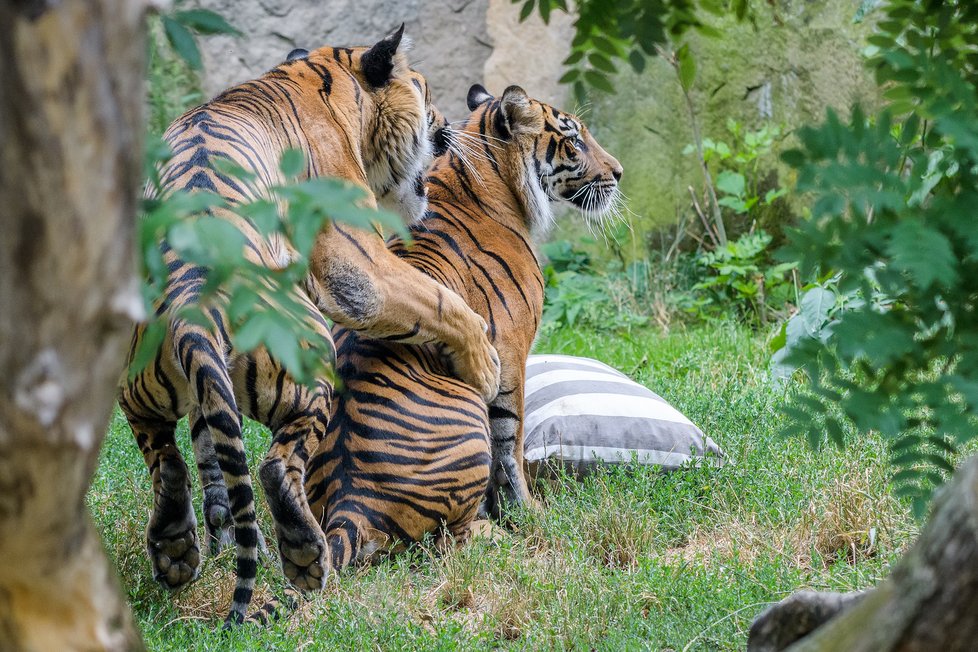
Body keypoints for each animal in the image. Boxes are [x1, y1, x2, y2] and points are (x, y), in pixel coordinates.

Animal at [118, 26, 500, 628]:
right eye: (424, 88)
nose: (446, 127)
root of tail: (191, 310)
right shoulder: (360, 268)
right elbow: (442, 303)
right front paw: (486, 368)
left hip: (140, 389)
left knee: (169, 462)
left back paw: (177, 553)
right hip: (309, 360)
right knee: (276, 468)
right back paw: (304, 556)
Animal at [304, 83, 624, 572]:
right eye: (574, 140)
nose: (619, 173)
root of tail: (349, 502)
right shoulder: (510, 355)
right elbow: (511, 442)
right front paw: (529, 513)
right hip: (468, 422)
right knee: (444, 543)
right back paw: (490, 533)